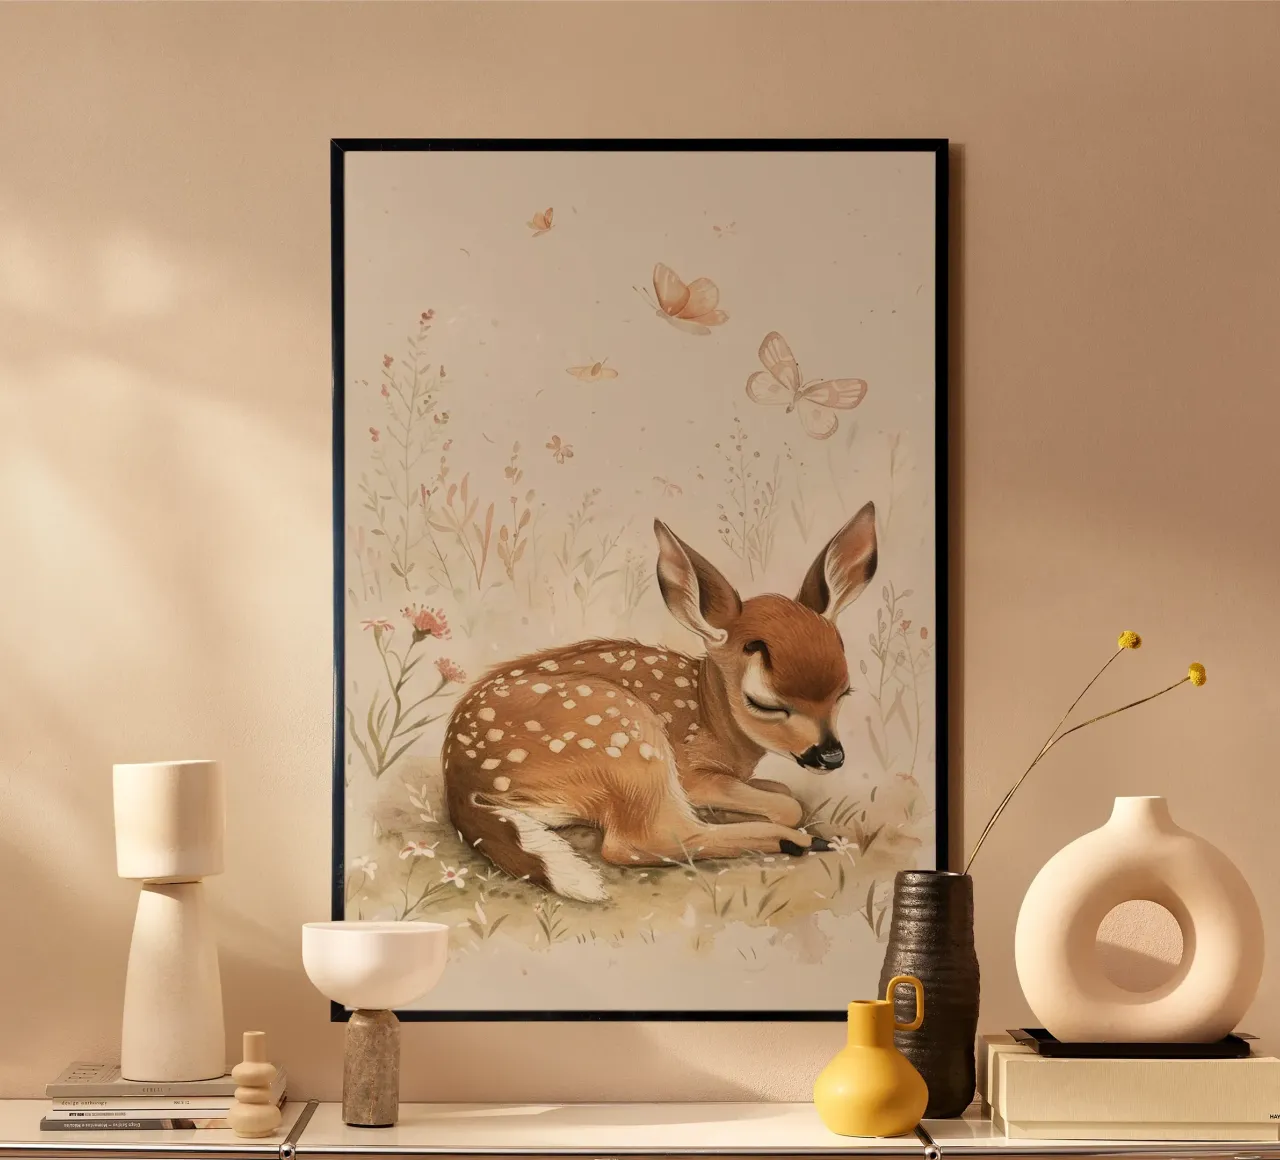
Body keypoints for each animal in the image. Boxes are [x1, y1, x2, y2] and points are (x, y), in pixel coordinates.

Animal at [441, 501, 878, 903]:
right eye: (765, 703)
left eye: (844, 692)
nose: (831, 756)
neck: (711, 716)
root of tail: (460, 785)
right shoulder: (690, 772)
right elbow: (789, 805)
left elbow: (783, 791)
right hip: (624, 740)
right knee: (640, 841)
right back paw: (796, 842)